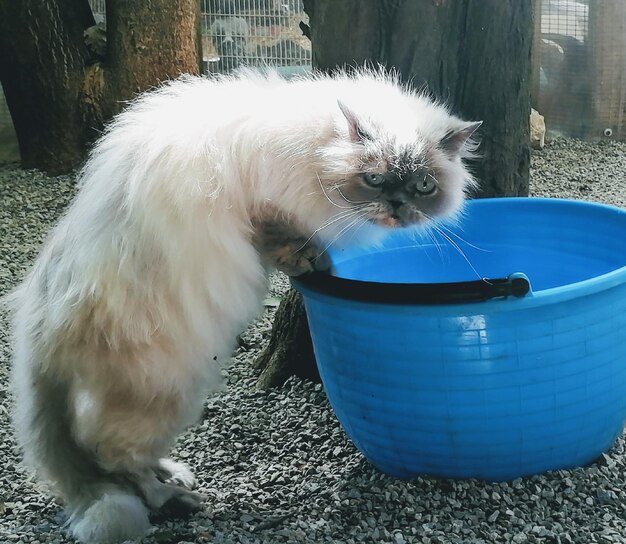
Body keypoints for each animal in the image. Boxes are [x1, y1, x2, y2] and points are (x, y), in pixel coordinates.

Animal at [6, 69, 478, 544]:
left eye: (423, 185)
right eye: (376, 180)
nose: (398, 206)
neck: (314, 151)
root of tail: (38, 318)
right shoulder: (264, 206)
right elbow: (285, 240)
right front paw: (312, 261)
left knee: (122, 455)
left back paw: (174, 476)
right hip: (164, 391)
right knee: (111, 456)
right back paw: (173, 500)